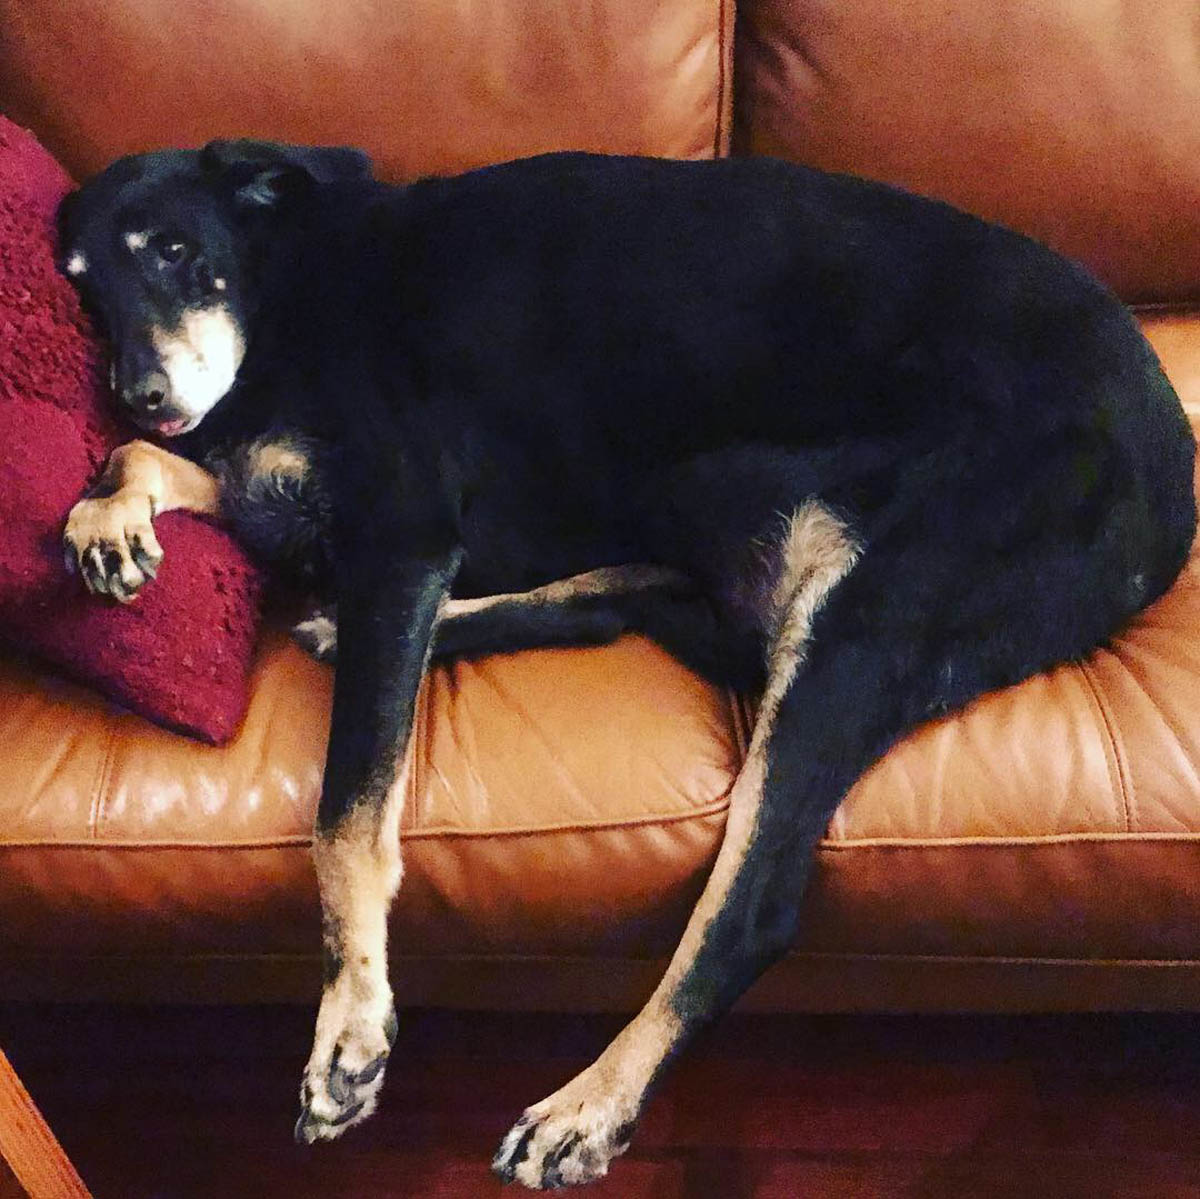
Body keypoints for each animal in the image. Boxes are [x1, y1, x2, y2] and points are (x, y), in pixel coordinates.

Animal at [54, 142, 1190, 1190]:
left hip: (871, 614)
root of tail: (1175, 487)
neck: (288, 284)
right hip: (712, 506)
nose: (137, 392)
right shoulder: (304, 503)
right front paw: (109, 516)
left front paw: (350, 1024)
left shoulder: (397, 529)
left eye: (174, 250)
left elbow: (343, 819)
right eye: (81, 281)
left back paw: (590, 1104)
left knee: (750, 907)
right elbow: (151, 464)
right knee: (630, 598)